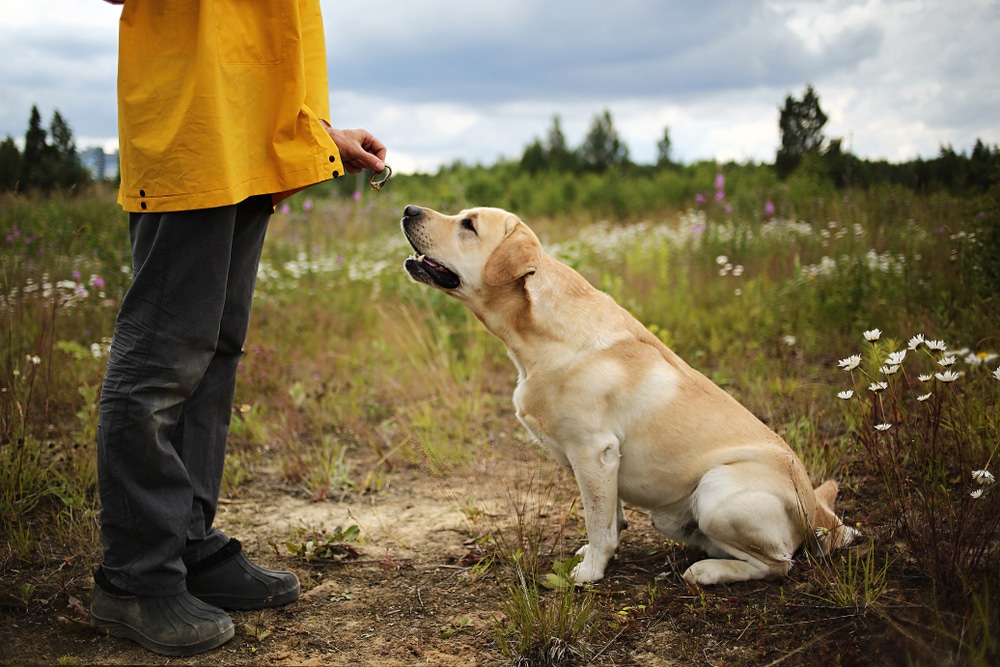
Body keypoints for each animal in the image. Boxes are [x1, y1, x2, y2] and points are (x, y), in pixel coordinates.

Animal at [402, 205, 856, 584]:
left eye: (468, 225)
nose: (408, 209)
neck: (538, 334)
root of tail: (821, 514)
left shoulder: (593, 451)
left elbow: (597, 520)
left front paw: (590, 571)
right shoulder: (600, 461)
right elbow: (609, 515)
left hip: (717, 491)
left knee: (779, 563)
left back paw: (706, 571)